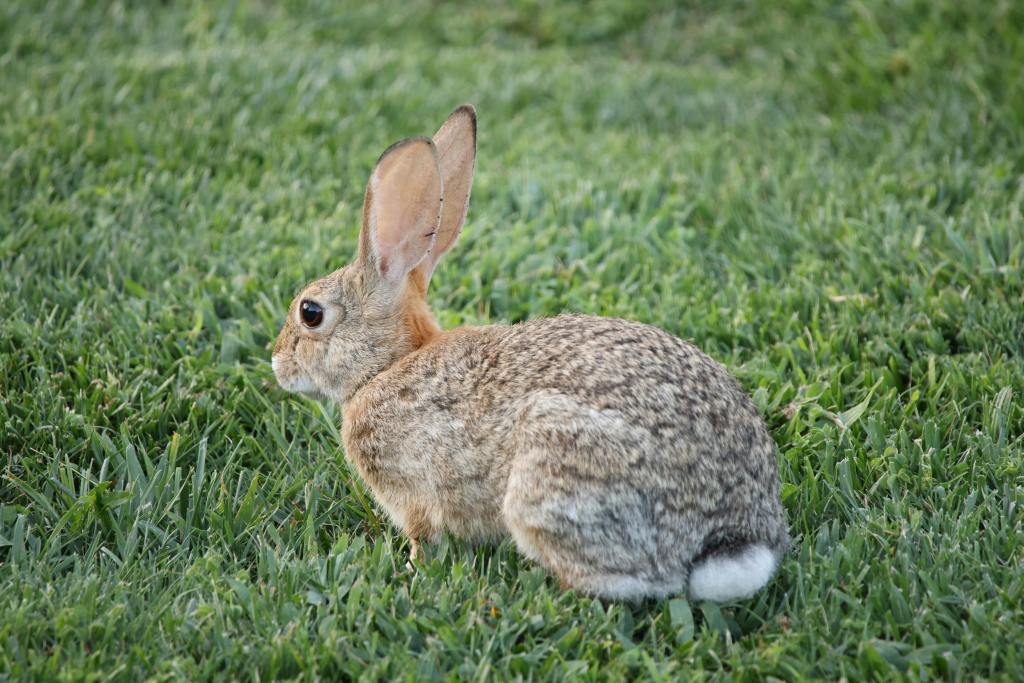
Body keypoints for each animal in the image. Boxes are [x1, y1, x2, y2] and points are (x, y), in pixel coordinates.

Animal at [271, 105, 789, 601]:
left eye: (310, 313)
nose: (276, 363)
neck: (388, 365)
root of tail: (730, 535)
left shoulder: (416, 496)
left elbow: (424, 537)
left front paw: (411, 571)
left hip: (552, 476)